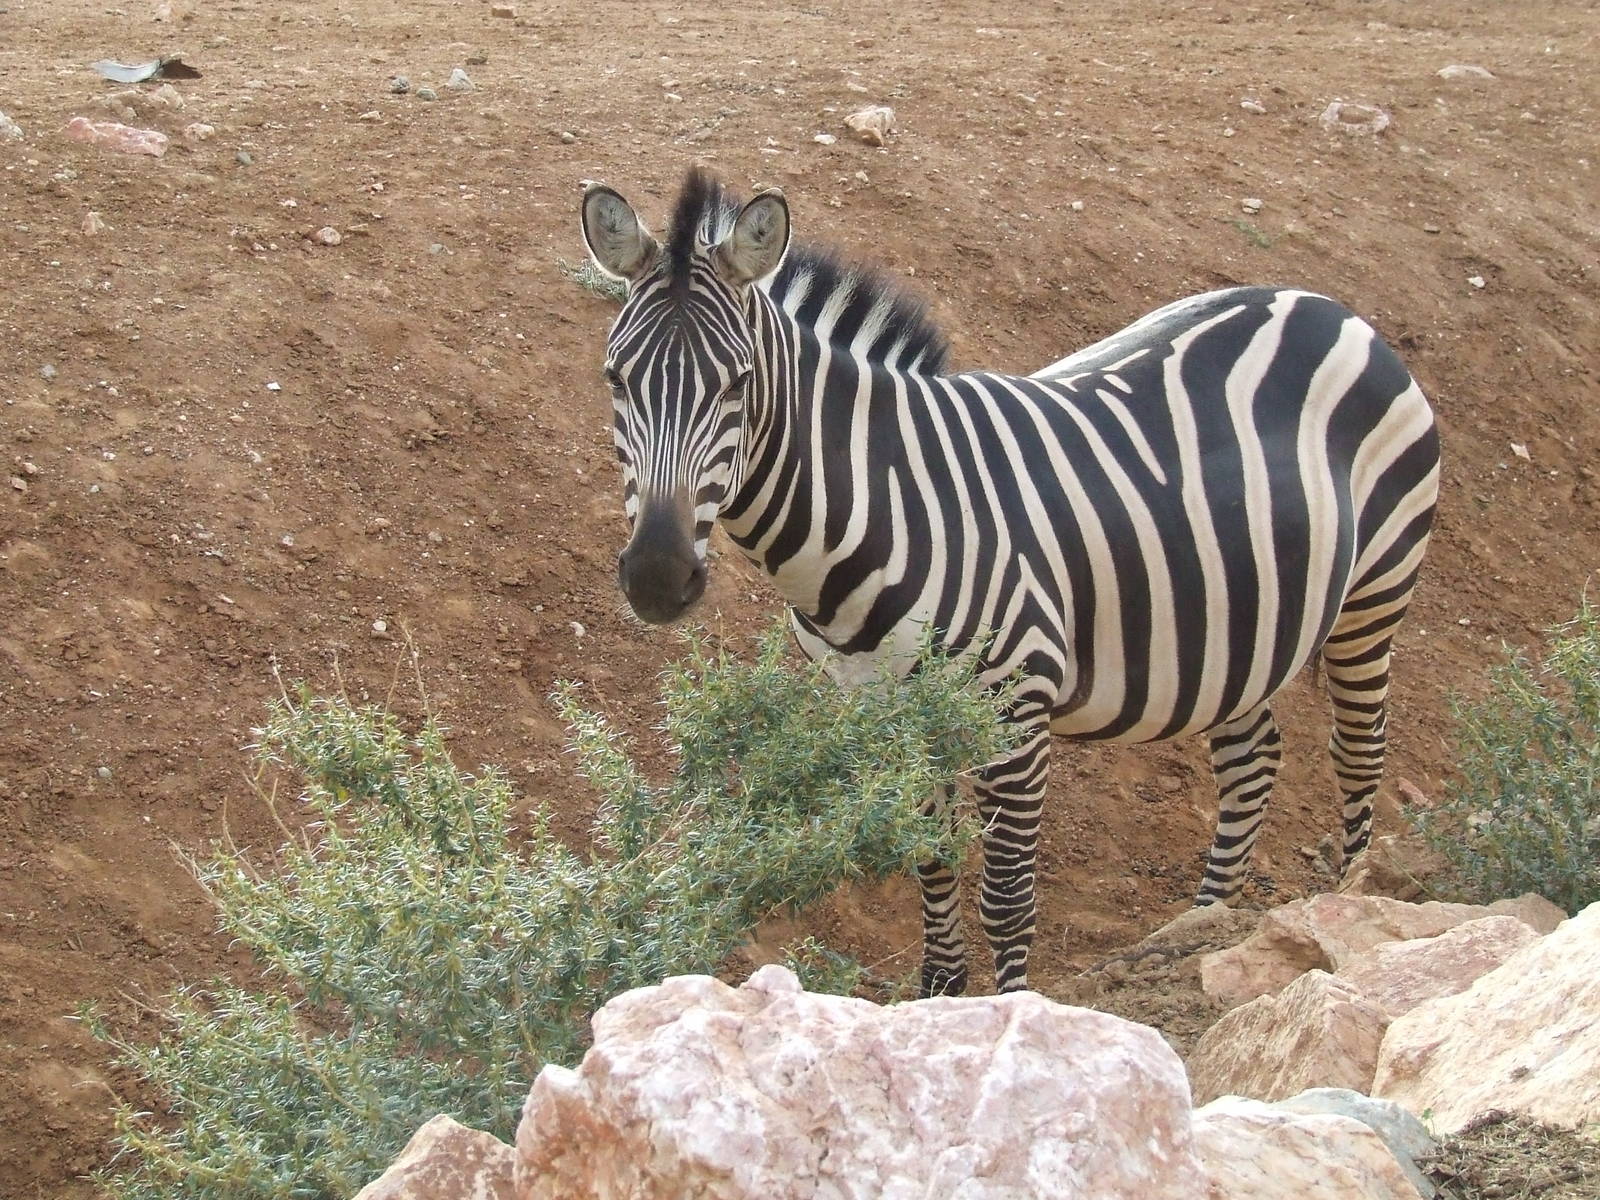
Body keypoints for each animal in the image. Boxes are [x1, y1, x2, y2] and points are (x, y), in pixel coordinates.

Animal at [579, 168, 1440, 997]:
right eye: (615, 380)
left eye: (737, 384)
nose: (656, 576)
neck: (887, 504)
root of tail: (1327, 307)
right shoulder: (887, 706)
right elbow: (929, 855)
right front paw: (939, 990)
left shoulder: (1015, 709)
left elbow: (1008, 893)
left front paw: (1008, 1007)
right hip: (1243, 620)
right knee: (1252, 758)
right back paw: (1201, 930)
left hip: (1375, 592)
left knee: (1359, 751)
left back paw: (1351, 899)